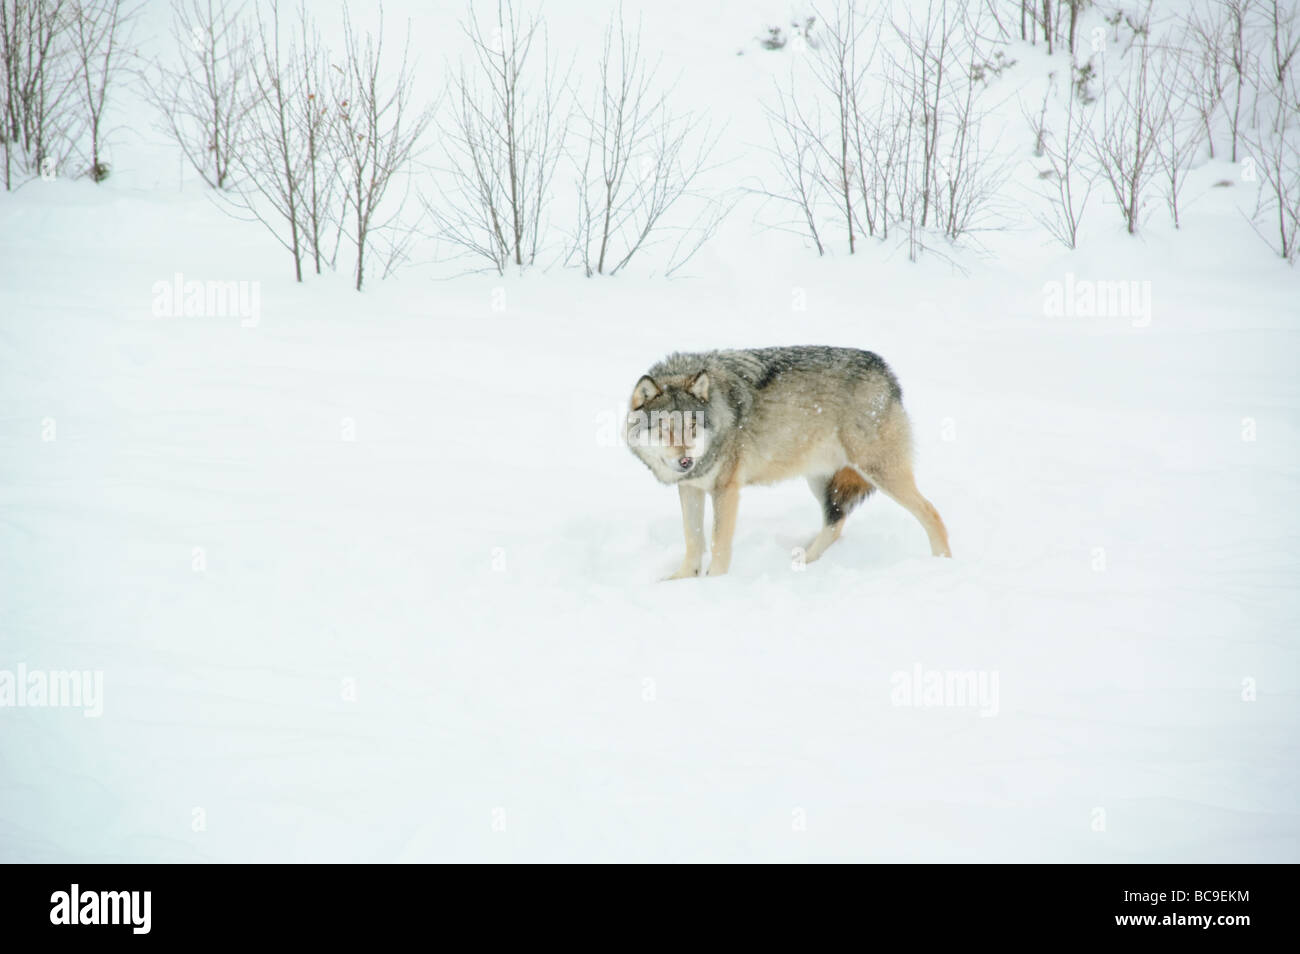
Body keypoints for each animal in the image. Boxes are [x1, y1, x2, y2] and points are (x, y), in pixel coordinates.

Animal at [624, 348, 951, 579]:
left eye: (692, 426)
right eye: (665, 428)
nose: (685, 460)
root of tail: (887, 371)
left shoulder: (726, 490)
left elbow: (718, 542)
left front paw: (714, 582)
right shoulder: (690, 488)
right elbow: (692, 539)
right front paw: (682, 579)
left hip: (878, 471)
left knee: (932, 512)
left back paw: (942, 564)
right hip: (821, 480)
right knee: (835, 522)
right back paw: (805, 561)